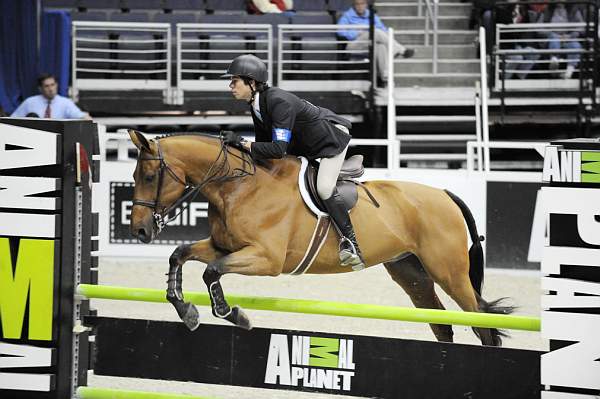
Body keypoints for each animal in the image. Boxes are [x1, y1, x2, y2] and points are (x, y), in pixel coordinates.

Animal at [129, 130, 512, 346]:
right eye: (134, 176)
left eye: (148, 176)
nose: (140, 231)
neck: (237, 185)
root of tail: (445, 194)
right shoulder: (224, 246)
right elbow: (180, 254)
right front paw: (185, 309)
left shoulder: (266, 259)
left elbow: (212, 272)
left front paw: (233, 314)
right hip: (411, 273)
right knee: (443, 325)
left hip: (449, 273)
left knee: (481, 321)